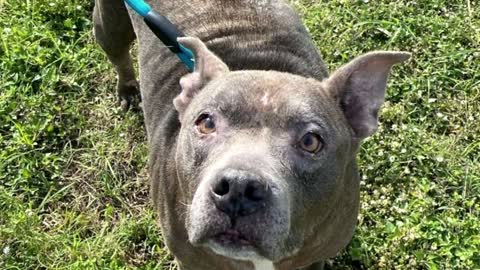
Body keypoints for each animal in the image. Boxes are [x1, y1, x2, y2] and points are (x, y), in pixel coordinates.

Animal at [93, 1, 408, 268]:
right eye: (205, 123)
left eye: (311, 141)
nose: (238, 187)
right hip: (110, 24)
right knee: (118, 53)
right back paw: (127, 89)